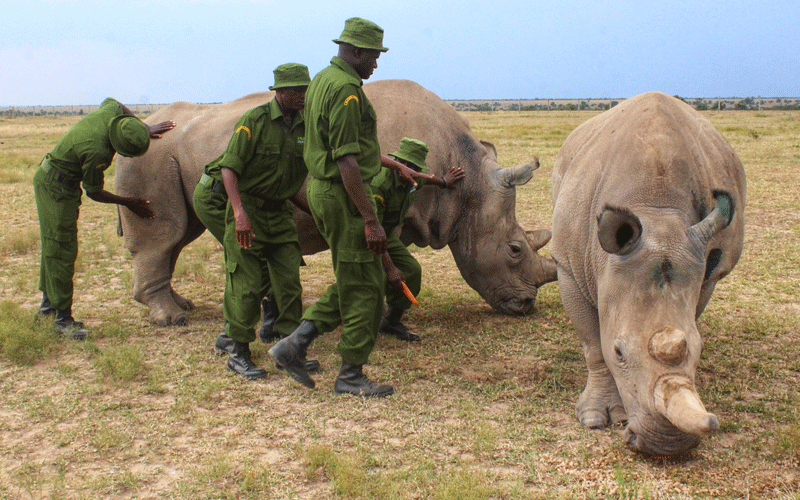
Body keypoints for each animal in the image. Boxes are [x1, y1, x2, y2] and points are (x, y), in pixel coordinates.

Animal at [114, 79, 556, 326]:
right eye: (515, 249)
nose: (526, 306)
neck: (467, 186)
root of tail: (145, 123)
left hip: (172, 155)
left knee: (180, 235)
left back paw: (182, 306)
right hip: (150, 154)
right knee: (165, 236)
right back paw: (172, 321)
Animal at [552, 91, 748, 458]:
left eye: (699, 349)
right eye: (619, 352)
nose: (666, 448)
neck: (657, 209)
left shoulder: (707, 268)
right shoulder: (567, 265)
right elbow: (593, 344)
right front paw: (594, 419)